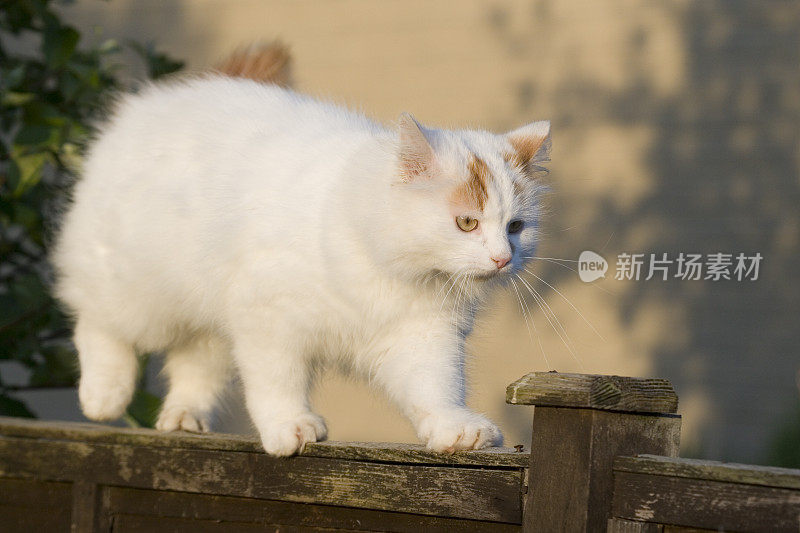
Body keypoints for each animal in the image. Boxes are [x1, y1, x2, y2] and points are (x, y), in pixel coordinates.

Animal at [53, 51, 548, 458]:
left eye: (515, 227)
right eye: (466, 223)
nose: (503, 259)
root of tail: (155, 101)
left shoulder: (422, 334)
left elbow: (435, 386)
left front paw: (454, 428)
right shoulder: (268, 319)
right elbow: (277, 381)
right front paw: (288, 425)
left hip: (210, 315)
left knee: (196, 362)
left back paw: (183, 417)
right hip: (138, 289)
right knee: (95, 321)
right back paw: (103, 395)